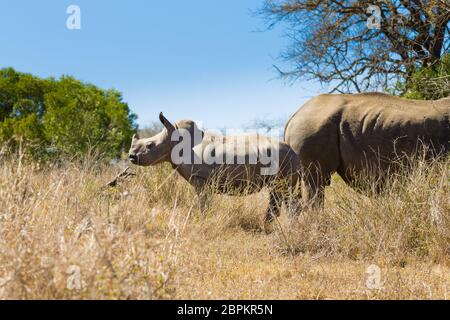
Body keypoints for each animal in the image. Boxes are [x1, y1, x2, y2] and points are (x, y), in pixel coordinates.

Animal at [128, 113, 300, 232]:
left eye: (150, 145)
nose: (131, 156)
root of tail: (293, 151)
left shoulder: (201, 179)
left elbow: (203, 204)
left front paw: (203, 220)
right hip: (282, 161)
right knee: (278, 194)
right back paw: (270, 227)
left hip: (284, 160)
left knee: (284, 192)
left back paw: (288, 228)